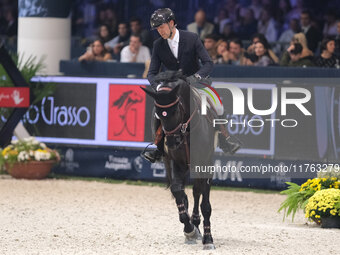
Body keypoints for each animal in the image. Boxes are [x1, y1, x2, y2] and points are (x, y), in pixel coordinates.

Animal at [141, 70, 216, 250]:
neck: (186, 130)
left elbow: (205, 205)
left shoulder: (204, 165)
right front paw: (189, 229)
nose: (171, 143)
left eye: (175, 110)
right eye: (159, 114)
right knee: (184, 192)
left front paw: (208, 239)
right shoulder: (175, 162)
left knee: (197, 192)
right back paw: (192, 226)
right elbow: (177, 190)